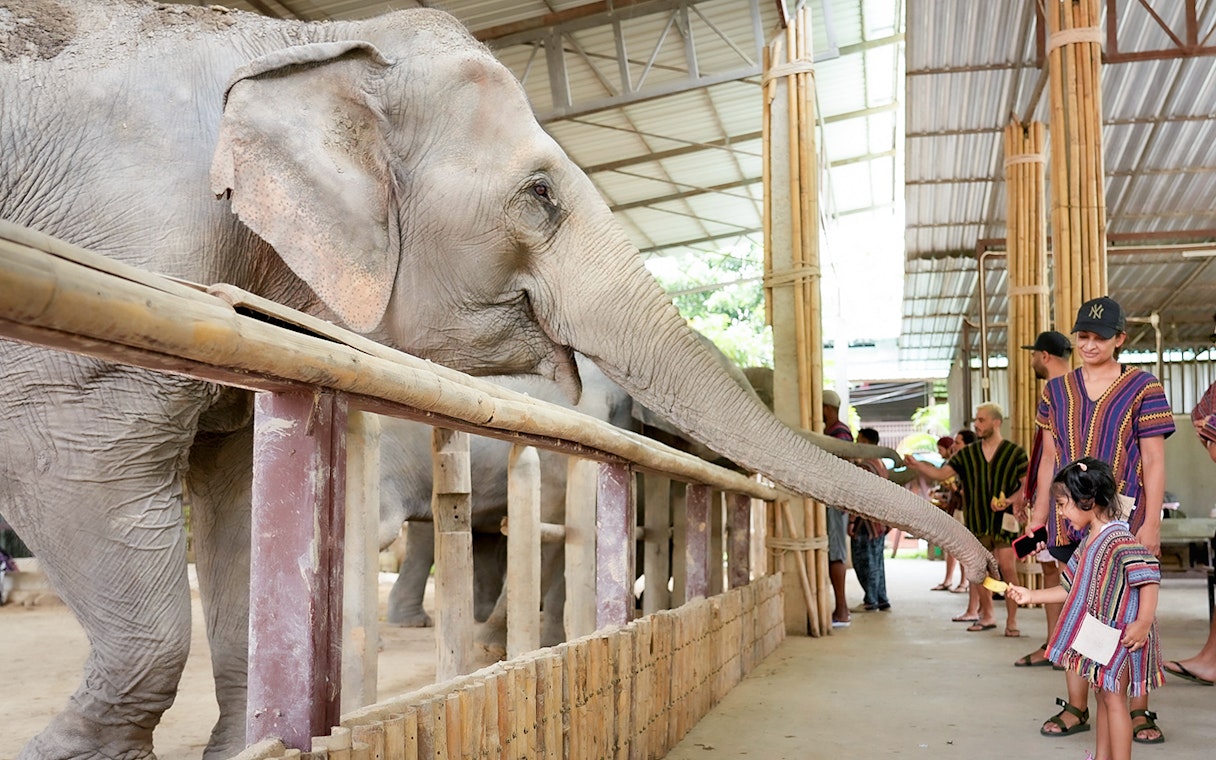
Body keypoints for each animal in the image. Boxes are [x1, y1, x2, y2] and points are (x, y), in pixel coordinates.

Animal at [0, 2, 992, 758]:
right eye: (541, 197)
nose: (985, 565)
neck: (305, 40)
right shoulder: (121, 244)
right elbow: (84, 462)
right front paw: (64, 753)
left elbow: (239, 496)